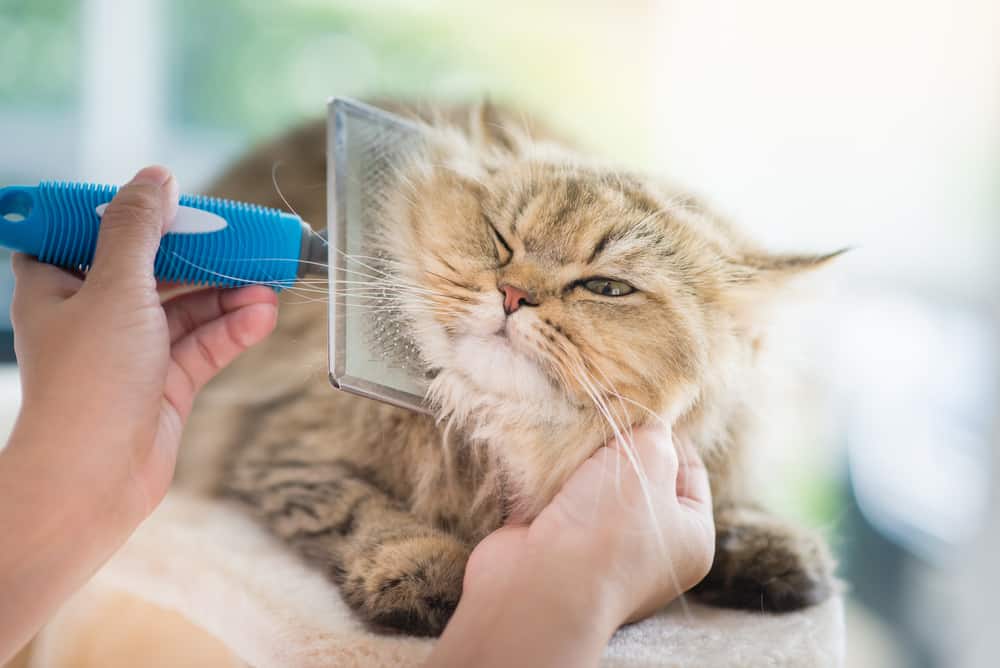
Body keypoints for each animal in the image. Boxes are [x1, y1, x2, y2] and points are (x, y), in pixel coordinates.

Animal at [180, 102, 836, 636]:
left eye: (606, 287)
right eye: (501, 241)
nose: (513, 295)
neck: (501, 435)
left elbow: (734, 509)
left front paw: (779, 556)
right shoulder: (283, 447)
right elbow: (364, 511)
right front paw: (426, 576)